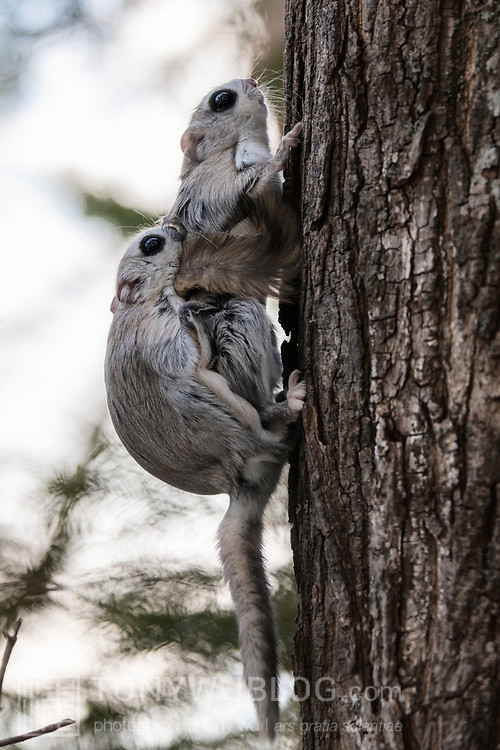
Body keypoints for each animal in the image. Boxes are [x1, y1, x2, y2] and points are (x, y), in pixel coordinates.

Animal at [105, 224, 305, 739]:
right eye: (151, 245)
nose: (174, 227)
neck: (145, 302)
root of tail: (239, 482)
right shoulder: (164, 342)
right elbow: (190, 357)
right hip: (226, 407)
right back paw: (288, 406)